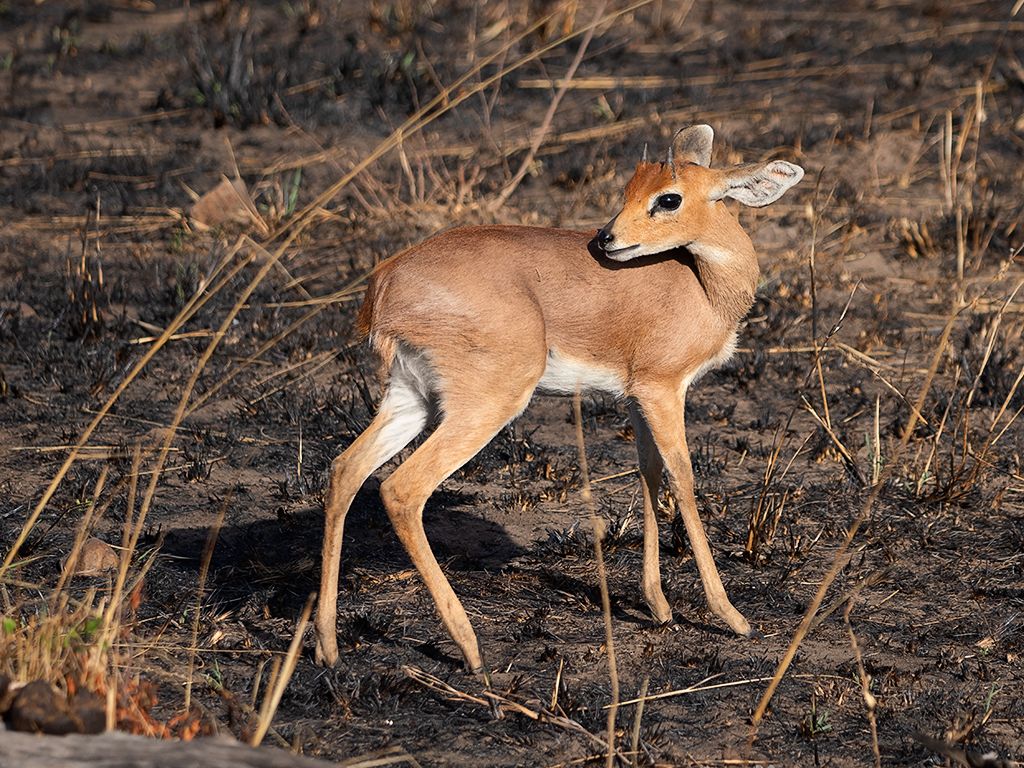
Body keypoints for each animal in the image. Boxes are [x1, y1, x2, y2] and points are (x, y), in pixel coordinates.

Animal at [314, 125, 803, 672]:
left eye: (667, 196)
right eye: (633, 190)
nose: (606, 239)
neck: (700, 286)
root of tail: (384, 285)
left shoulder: (637, 396)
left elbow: (649, 471)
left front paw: (658, 606)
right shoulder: (663, 389)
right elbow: (683, 478)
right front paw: (731, 616)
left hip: (410, 399)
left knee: (345, 470)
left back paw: (327, 646)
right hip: (487, 404)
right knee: (401, 489)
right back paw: (470, 648)